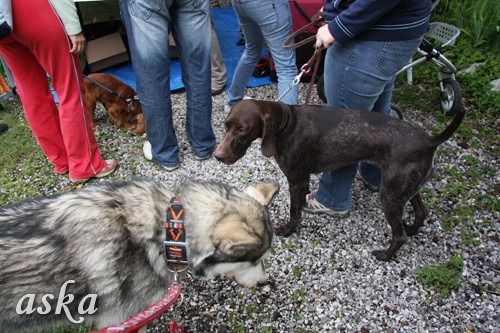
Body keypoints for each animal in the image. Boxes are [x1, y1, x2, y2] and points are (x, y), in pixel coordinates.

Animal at [214, 98, 464, 260]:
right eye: (226, 126)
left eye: (242, 129)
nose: (218, 156)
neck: (286, 124)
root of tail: (430, 140)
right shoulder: (302, 181)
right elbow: (299, 205)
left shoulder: (297, 179)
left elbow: (295, 211)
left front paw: (289, 229)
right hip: (407, 188)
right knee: (421, 211)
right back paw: (411, 228)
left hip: (390, 195)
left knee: (399, 236)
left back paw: (386, 254)